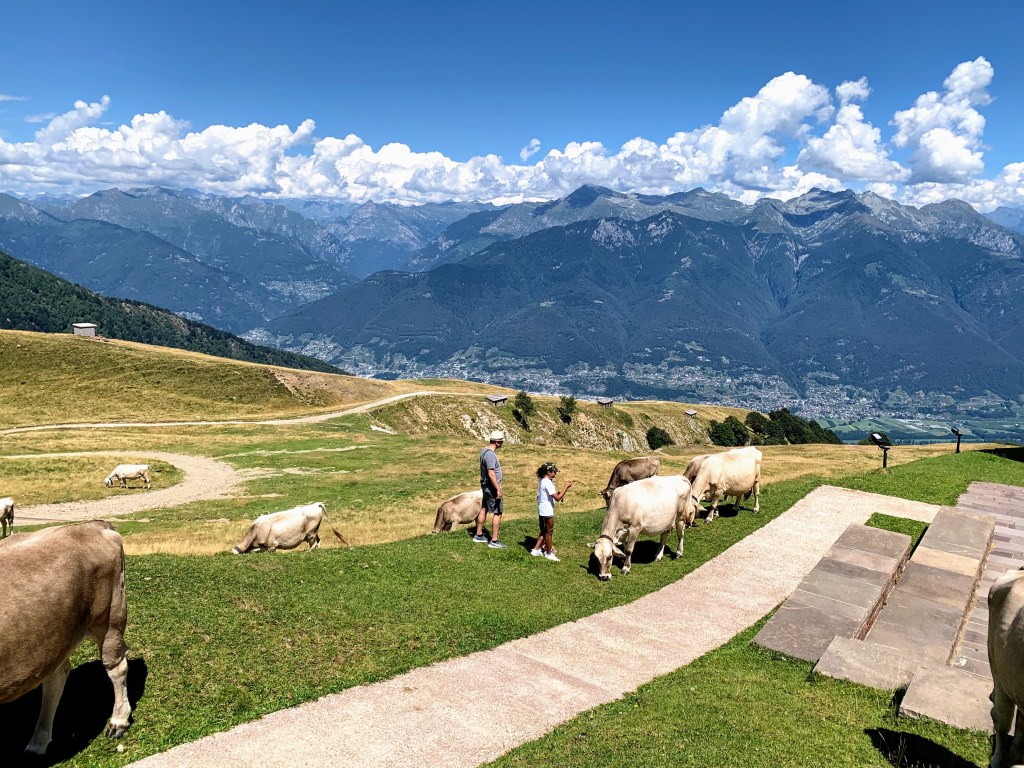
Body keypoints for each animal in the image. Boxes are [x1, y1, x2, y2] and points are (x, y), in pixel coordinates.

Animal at [0, 520, 131, 755]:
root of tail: (93, 525)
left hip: (110, 619)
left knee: (116, 666)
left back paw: (118, 721)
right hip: (55, 638)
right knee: (57, 675)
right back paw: (38, 742)